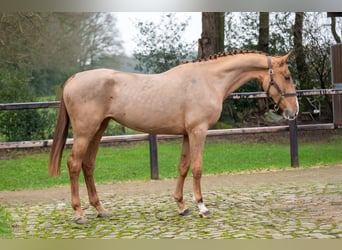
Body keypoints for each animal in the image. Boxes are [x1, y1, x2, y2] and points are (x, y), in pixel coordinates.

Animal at [48, 49, 300, 224]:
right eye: (287, 76)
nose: (294, 112)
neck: (208, 80)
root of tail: (74, 78)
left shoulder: (188, 134)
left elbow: (183, 167)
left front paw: (182, 206)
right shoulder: (198, 131)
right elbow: (197, 168)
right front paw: (202, 207)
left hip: (98, 130)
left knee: (88, 165)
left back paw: (100, 210)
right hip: (85, 132)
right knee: (74, 164)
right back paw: (79, 214)